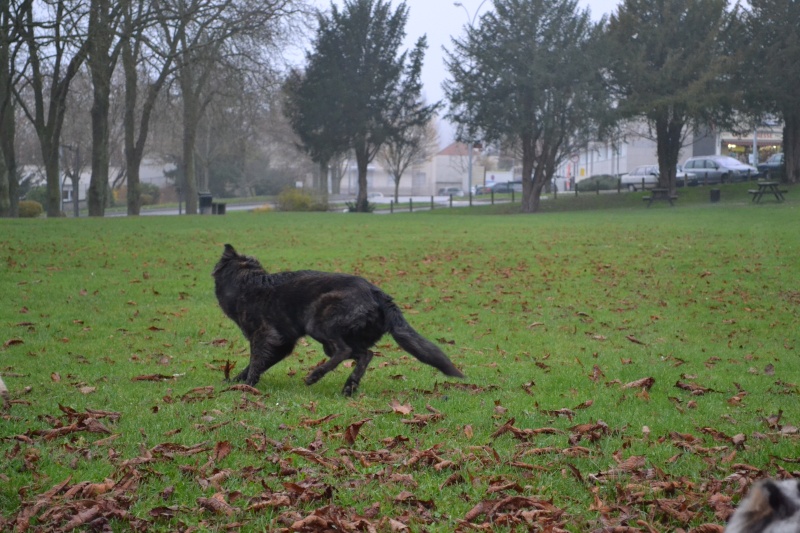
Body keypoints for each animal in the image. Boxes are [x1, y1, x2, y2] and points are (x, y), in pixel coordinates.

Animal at [209, 245, 466, 394]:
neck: (247, 281)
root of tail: (376, 292)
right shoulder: (282, 344)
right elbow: (258, 364)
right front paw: (235, 380)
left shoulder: (262, 336)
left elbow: (255, 362)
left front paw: (246, 385)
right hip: (340, 340)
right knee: (365, 354)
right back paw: (349, 385)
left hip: (320, 325)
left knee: (345, 351)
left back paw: (316, 375)